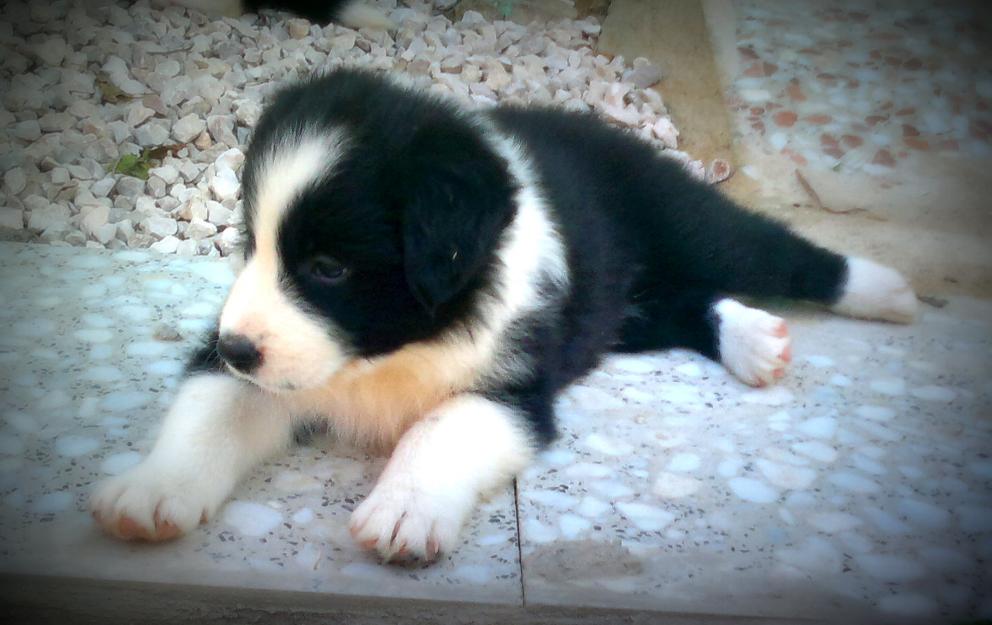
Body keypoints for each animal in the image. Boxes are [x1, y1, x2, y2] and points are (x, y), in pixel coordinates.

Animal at [89, 68, 920, 560]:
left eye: (327, 267)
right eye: (250, 243)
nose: (235, 345)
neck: (388, 354)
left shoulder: (515, 387)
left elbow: (440, 424)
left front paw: (403, 509)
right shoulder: (273, 368)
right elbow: (213, 407)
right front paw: (152, 489)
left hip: (688, 222)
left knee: (775, 251)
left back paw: (885, 290)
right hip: (618, 306)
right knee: (683, 301)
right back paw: (753, 340)